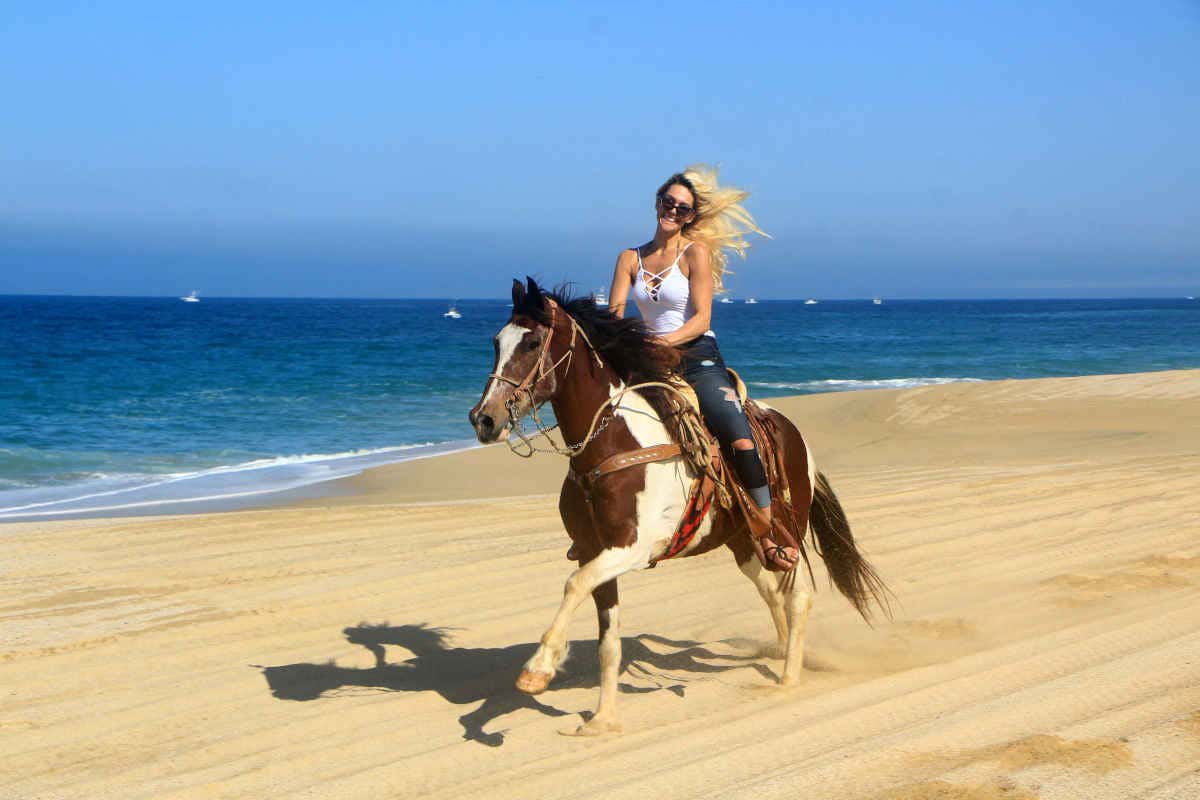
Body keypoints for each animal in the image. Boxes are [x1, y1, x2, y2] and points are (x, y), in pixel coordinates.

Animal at [468, 278, 892, 734]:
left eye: (531, 343)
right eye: (496, 342)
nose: (484, 419)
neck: (610, 443)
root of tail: (796, 435)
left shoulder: (633, 548)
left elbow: (574, 585)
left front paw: (538, 670)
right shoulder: (594, 550)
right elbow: (607, 640)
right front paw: (602, 721)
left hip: (789, 532)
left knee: (798, 597)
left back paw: (787, 680)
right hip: (744, 543)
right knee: (771, 592)